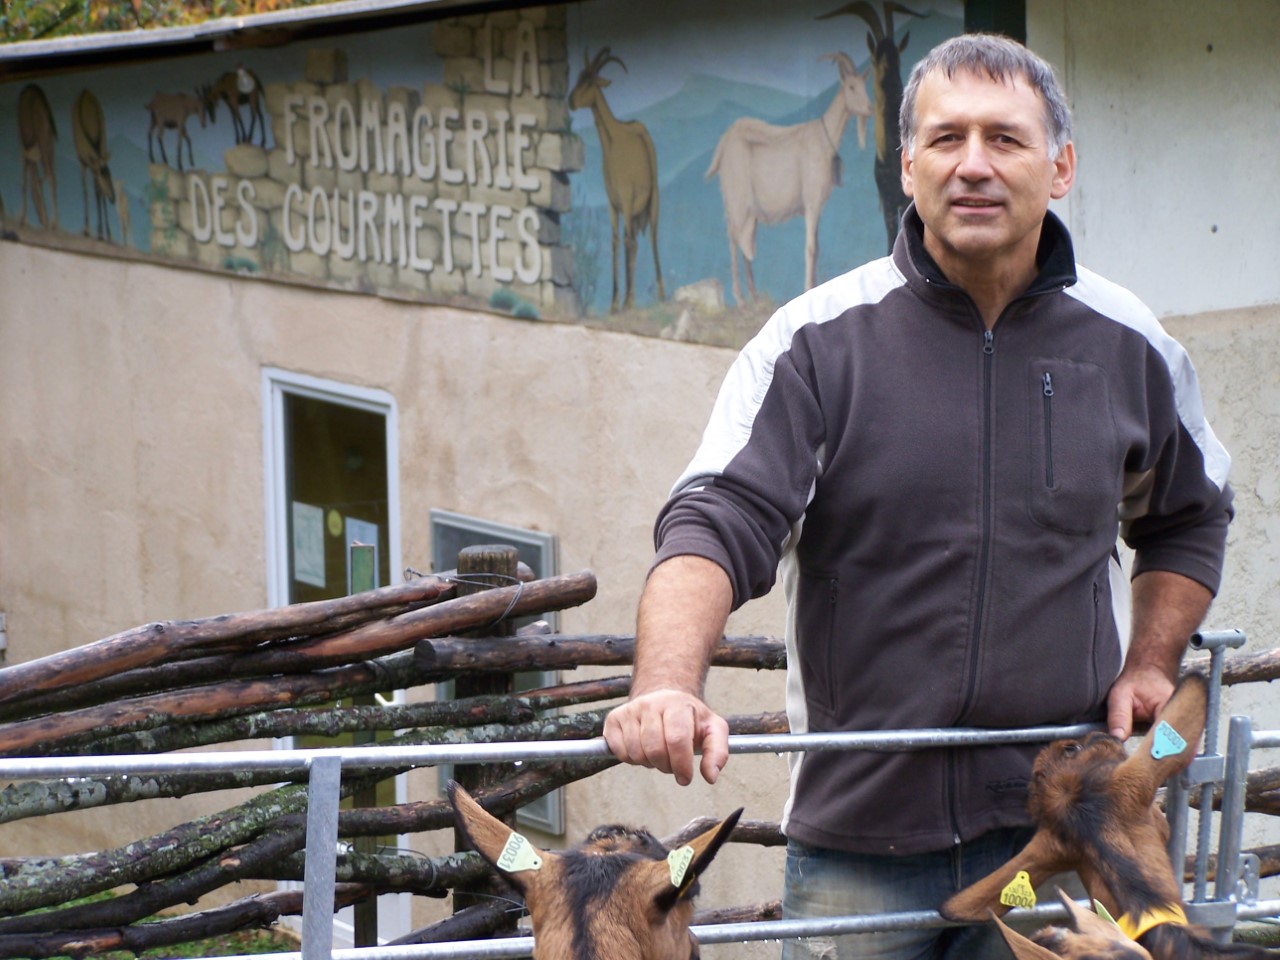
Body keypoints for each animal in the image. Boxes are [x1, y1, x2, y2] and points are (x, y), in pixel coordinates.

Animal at [573, 48, 670, 312]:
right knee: (633, 240)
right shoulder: (613, 203)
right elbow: (616, 241)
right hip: (634, 212)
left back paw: (661, 294)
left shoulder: (627, 199)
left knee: (651, 238)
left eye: (590, 81)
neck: (613, 142)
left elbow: (629, 242)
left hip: (651, 201)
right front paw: (615, 302)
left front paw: (628, 301)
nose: (571, 101)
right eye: (578, 76)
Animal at [706, 50, 875, 304]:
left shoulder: (817, 205)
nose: (869, 108)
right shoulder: (811, 202)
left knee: (745, 241)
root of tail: (725, 142)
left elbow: (817, 247)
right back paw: (740, 297)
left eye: (865, 85)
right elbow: (810, 248)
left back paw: (754, 295)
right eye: (852, 87)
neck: (824, 139)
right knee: (733, 238)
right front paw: (807, 288)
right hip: (736, 196)